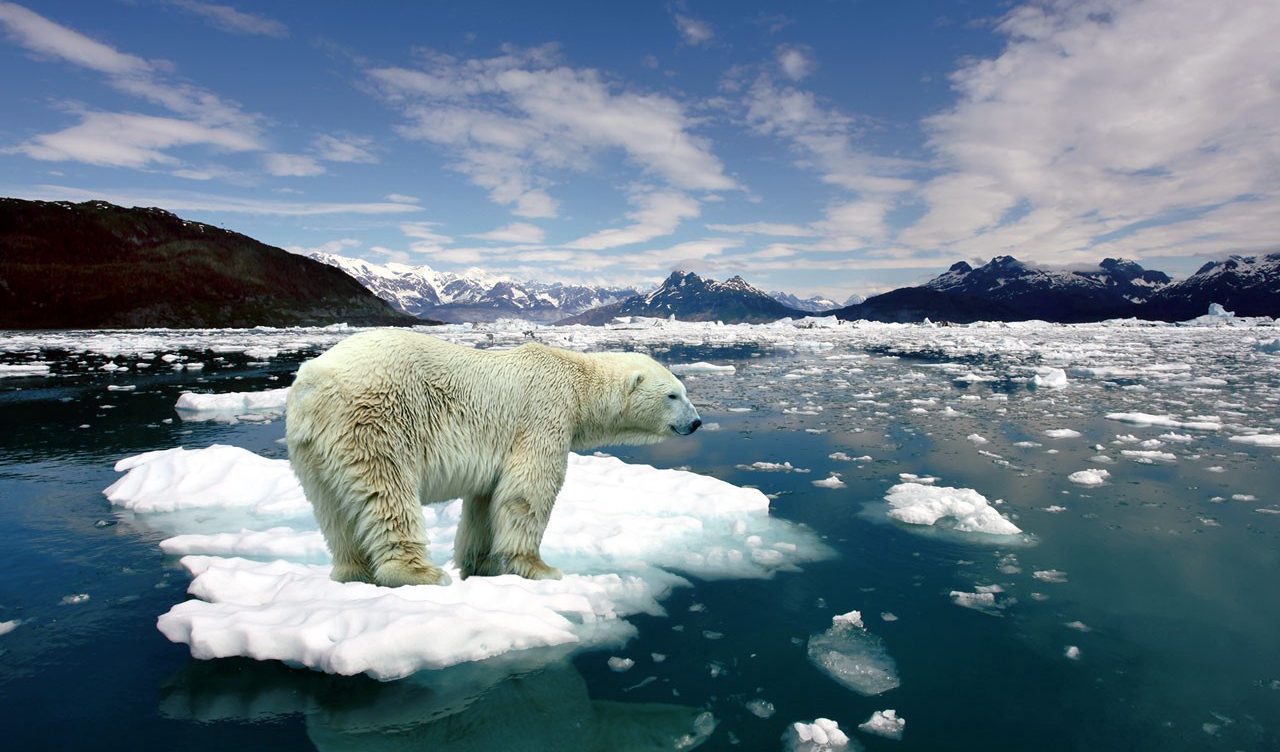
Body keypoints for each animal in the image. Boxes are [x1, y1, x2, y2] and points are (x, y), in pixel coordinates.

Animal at [286, 329, 706, 588]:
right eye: (673, 395)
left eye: (684, 391)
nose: (697, 422)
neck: (576, 382)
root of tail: (314, 382)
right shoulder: (544, 413)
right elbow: (528, 490)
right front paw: (540, 568)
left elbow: (485, 502)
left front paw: (480, 565)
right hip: (376, 419)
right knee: (387, 492)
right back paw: (420, 573)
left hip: (311, 448)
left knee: (332, 509)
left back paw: (352, 572)